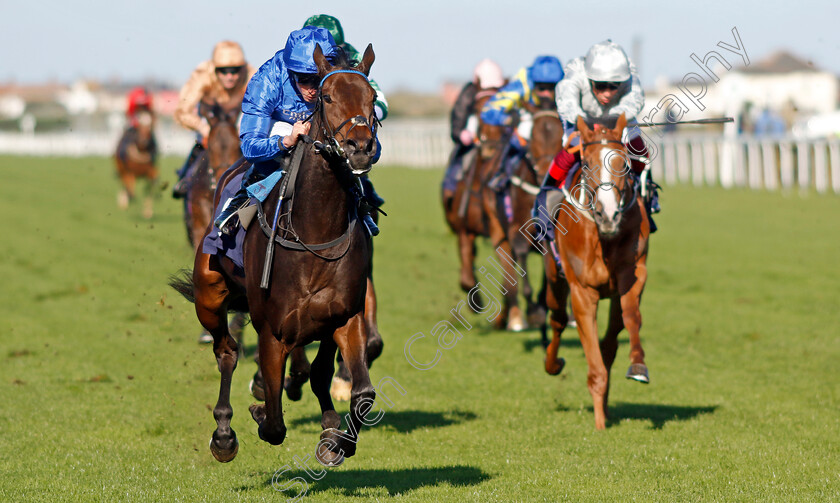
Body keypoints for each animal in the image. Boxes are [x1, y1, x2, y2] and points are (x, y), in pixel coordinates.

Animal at [440, 88, 524, 332]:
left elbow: (508, 276)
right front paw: (476, 301)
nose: (489, 148)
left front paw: (505, 317)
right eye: (478, 111)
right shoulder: (463, 230)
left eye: (506, 115)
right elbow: (467, 275)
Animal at [540, 114, 652, 430]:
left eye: (624, 163)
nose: (608, 215)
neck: (603, 237)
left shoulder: (633, 275)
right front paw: (600, 424)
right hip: (554, 276)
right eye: (587, 163)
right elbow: (594, 361)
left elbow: (630, 317)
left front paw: (638, 366)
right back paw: (553, 364)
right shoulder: (582, 292)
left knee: (611, 338)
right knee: (557, 319)